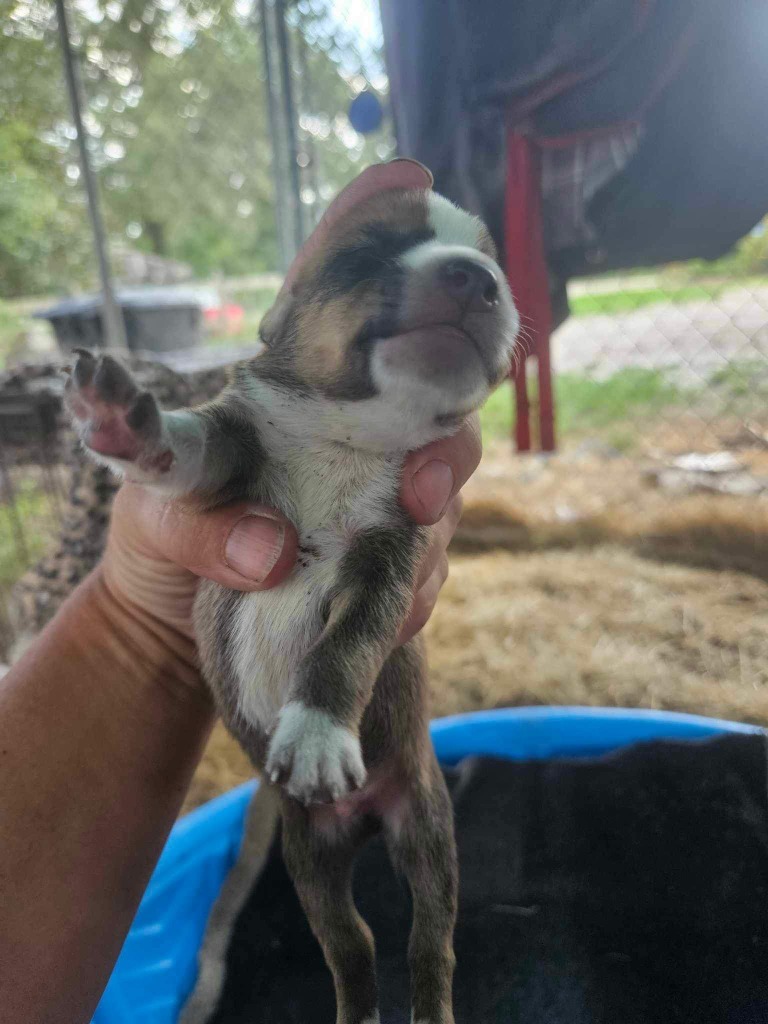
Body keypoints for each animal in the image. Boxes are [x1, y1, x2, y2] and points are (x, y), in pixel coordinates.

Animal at [66, 167, 520, 1024]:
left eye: (497, 270)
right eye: (366, 252)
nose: (476, 280)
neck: (347, 437)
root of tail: (364, 816)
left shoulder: (391, 558)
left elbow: (344, 645)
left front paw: (314, 730)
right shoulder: (227, 461)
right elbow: (184, 448)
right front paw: (125, 423)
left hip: (426, 825)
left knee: (428, 940)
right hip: (307, 854)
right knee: (353, 945)